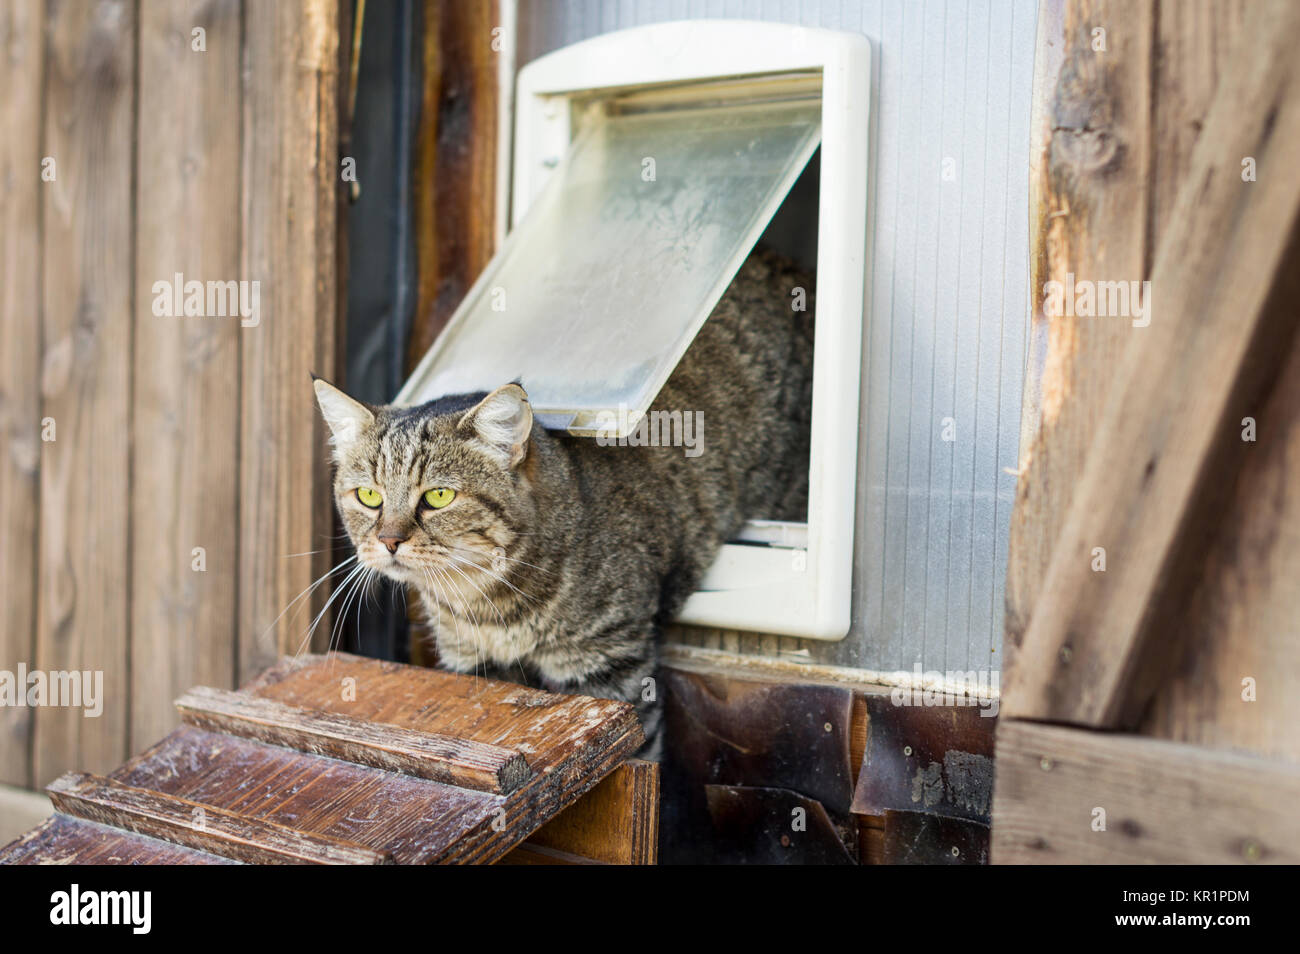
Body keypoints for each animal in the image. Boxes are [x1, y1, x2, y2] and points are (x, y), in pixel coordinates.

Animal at [313, 248, 811, 764]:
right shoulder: (471, 664)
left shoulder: (610, 668)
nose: (388, 540)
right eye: (369, 496)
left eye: (439, 497)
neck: (487, 607)